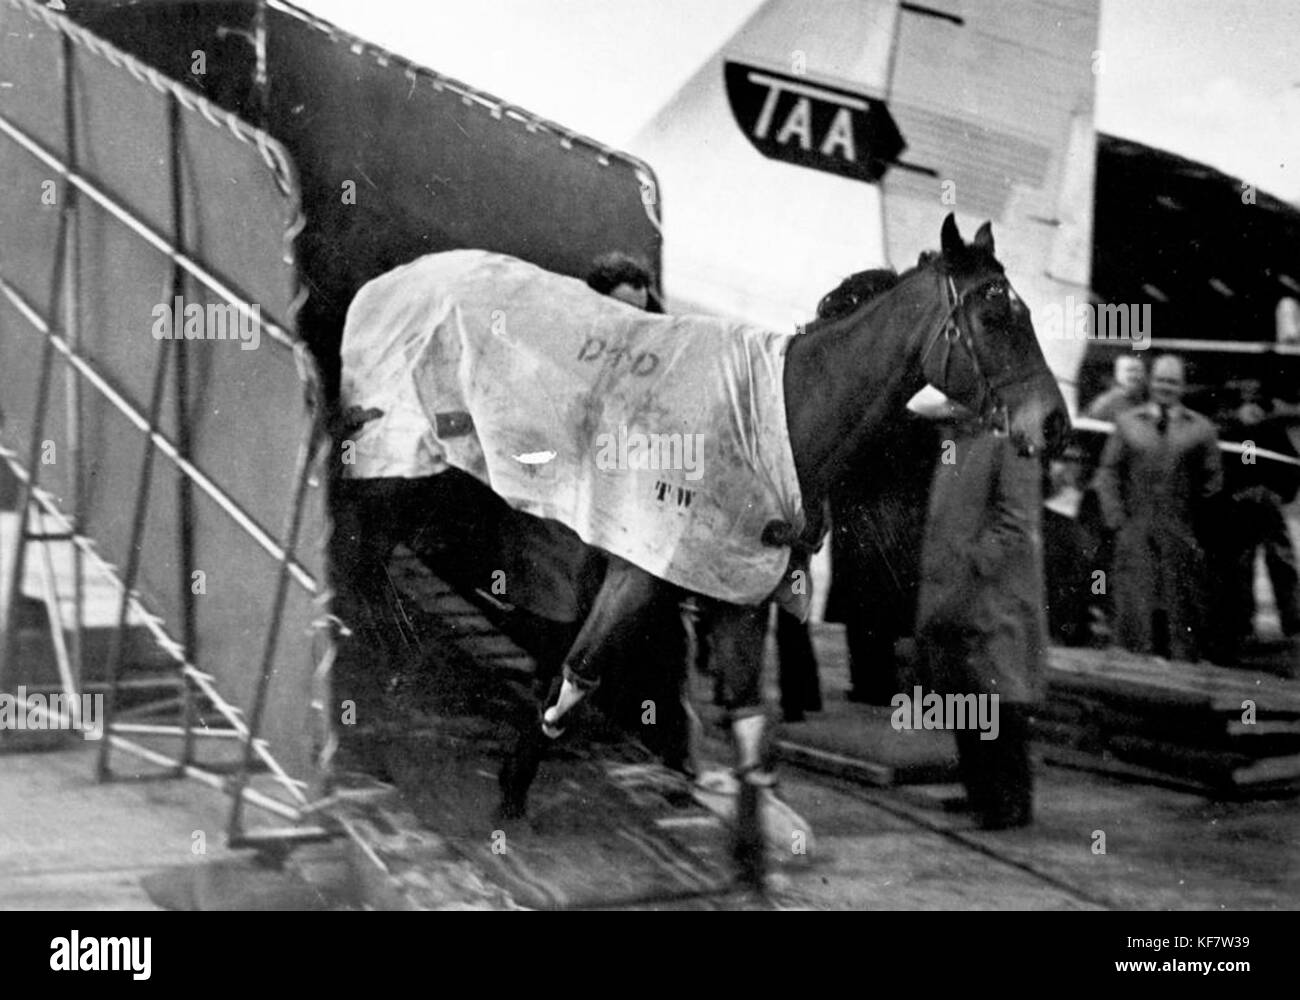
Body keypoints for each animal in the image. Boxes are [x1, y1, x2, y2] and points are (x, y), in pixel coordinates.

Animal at [488, 214, 1066, 884]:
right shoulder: (639, 572)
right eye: (995, 315)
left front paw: (752, 852)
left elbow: (747, 719)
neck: (780, 420)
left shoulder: (742, 593)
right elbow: (577, 666)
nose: (1054, 423)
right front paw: (513, 789)